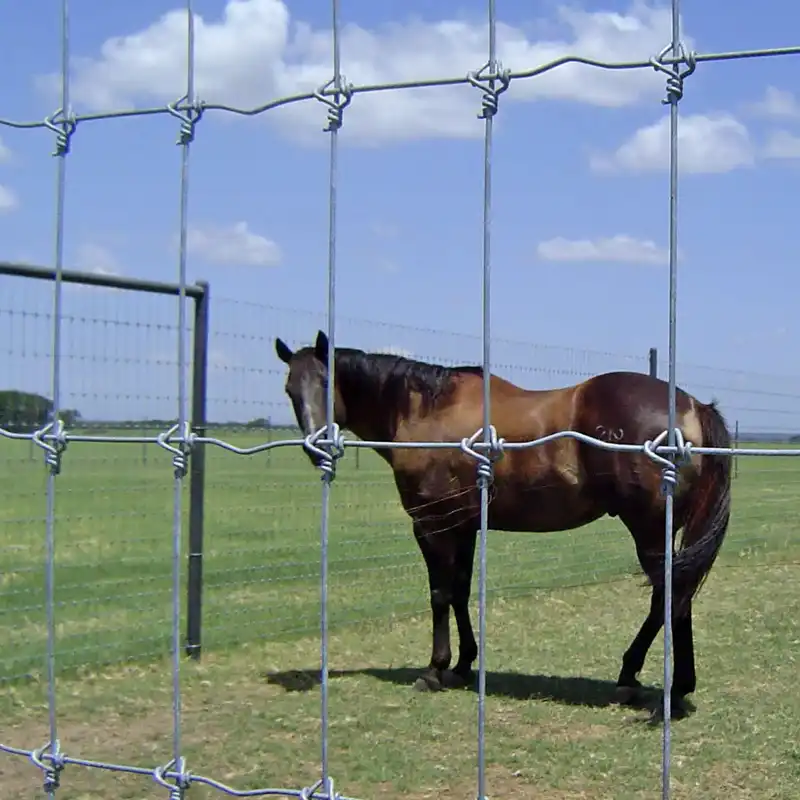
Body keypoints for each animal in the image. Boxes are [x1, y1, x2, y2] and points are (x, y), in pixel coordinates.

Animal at [274, 330, 732, 717]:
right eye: (290, 389)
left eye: (326, 383)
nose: (317, 448)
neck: (427, 411)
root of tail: (692, 407)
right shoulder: (464, 526)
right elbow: (460, 591)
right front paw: (462, 664)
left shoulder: (431, 525)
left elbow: (439, 594)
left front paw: (433, 670)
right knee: (673, 598)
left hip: (649, 532)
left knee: (670, 597)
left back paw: (654, 683)